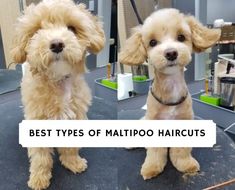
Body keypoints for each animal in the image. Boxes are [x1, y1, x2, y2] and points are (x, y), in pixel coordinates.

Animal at [11, 0, 104, 189]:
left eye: (72, 28)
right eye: (37, 30)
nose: (56, 44)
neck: (58, 81)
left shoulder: (74, 116)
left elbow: (70, 147)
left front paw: (72, 162)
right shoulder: (37, 120)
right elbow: (40, 156)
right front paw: (39, 178)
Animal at [119, 8, 220, 180]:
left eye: (181, 37)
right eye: (152, 42)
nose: (171, 53)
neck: (170, 85)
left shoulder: (184, 121)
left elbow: (181, 150)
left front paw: (185, 164)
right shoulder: (154, 123)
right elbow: (154, 151)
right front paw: (152, 167)